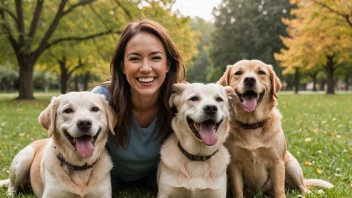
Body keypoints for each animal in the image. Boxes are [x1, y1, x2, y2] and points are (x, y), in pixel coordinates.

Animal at [217, 59, 332, 197]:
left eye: (261, 72)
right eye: (238, 73)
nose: (249, 80)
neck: (252, 125)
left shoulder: (277, 162)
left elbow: (279, 190)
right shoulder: (234, 165)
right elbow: (238, 191)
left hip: (291, 165)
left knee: (301, 186)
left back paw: (306, 193)